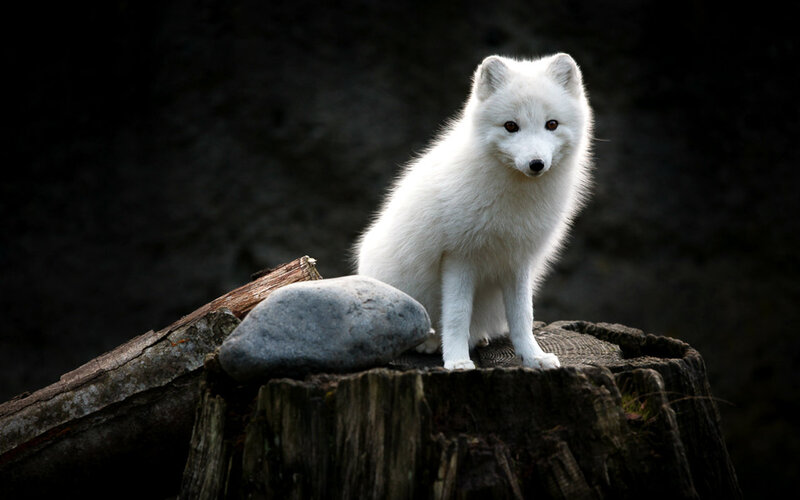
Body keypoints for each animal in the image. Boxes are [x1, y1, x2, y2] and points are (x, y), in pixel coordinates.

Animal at [355, 53, 593, 370]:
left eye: (551, 124)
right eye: (511, 126)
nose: (536, 164)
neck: (514, 199)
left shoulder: (517, 260)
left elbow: (523, 316)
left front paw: (533, 357)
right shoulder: (458, 256)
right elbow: (457, 315)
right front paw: (456, 361)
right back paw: (432, 343)